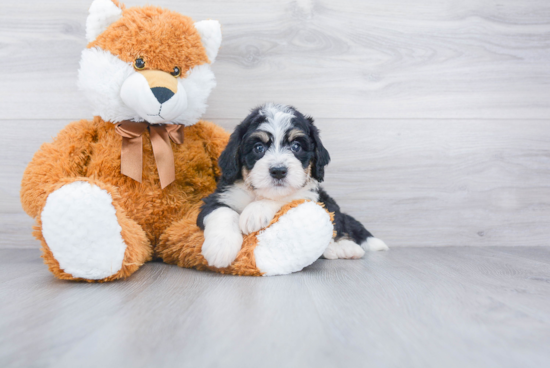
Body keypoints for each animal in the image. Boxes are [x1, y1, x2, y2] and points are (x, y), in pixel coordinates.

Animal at [197, 103, 388, 268]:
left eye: (296, 146)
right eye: (258, 148)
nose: (278, 171)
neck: (256, 193)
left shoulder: (309, 194)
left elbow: (288, 197)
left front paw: (255, 212)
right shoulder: (218, 196)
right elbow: (223, 212)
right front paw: (220, 247)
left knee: (338, 222)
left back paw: (344, 247)